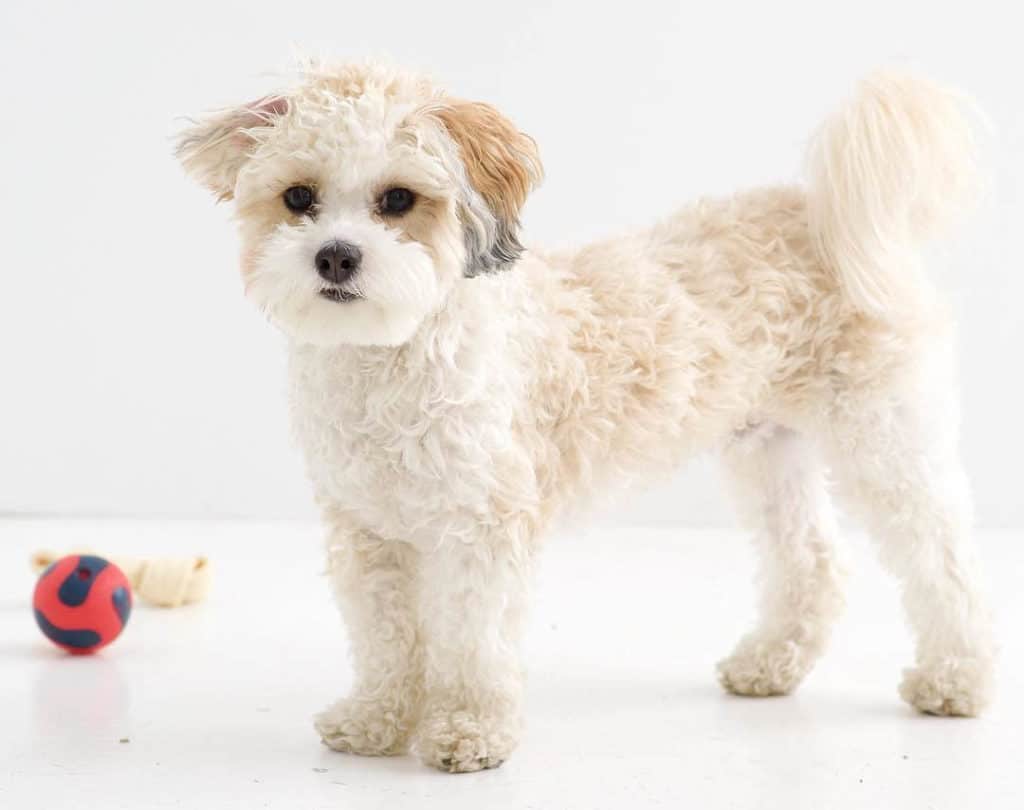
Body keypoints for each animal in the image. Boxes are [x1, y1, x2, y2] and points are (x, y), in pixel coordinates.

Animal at [176, 61, 991, 774]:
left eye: (398, 200)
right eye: (298, 197)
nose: (336, 257)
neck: (391, 356)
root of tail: (829, 214)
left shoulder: (482, 530)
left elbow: (472, 641)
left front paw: (469, 731)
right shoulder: (368, 533)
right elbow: (384, 639)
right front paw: (377, 719)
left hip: (883, 436)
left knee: (942, 556)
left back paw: (956, 678)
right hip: (767, 450)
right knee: (812, 561)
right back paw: (769, 665)